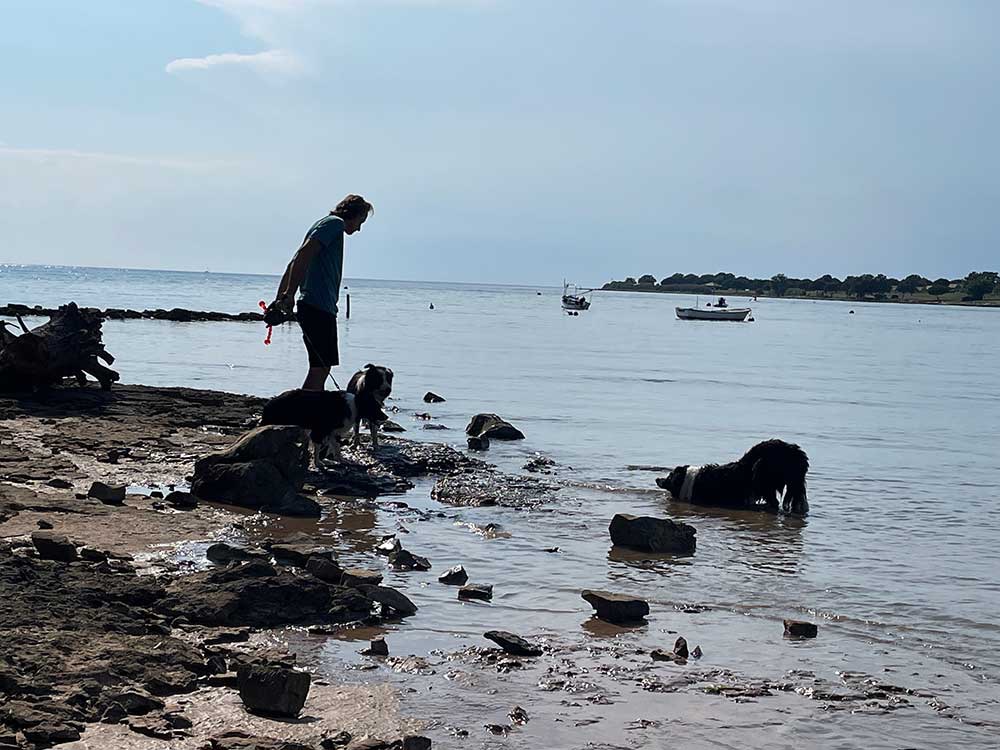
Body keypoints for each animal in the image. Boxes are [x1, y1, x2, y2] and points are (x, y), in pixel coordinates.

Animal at [656, 440, 812, 516]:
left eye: (669, 477)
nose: (657, 479)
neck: (688, 481)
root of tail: (796, 452)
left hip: (763, 474)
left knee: (774, 501)